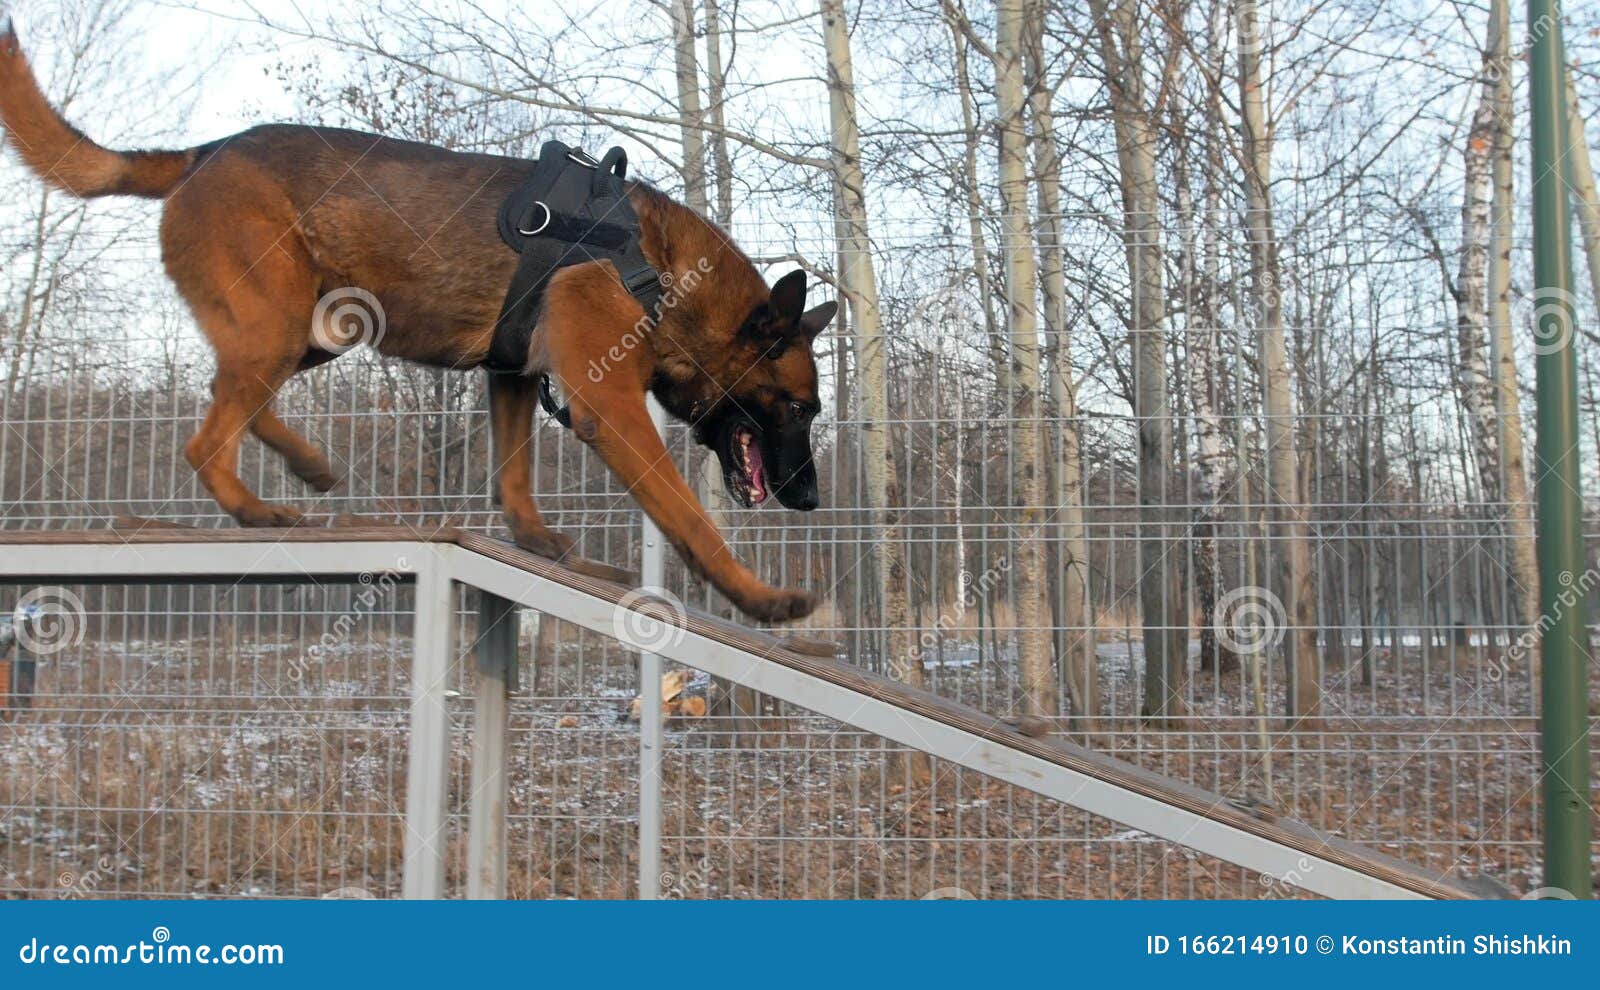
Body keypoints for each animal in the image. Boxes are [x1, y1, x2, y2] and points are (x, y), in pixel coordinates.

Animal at [0, 23, 825, 623]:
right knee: (208, 438)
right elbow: (691, 518)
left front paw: (541, 543)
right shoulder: (610, 406)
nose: (813, 500)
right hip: (282, 324)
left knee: (229, 394)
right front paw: (760, 599)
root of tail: (204, 153)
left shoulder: (511, 376)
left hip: (314, 331)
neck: (656, 269)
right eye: (796, 408)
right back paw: (262, 509)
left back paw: (308, 466)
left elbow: (515, 479)